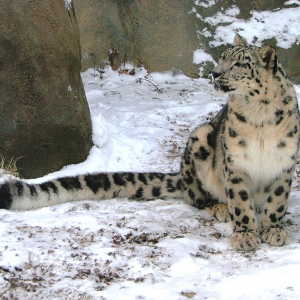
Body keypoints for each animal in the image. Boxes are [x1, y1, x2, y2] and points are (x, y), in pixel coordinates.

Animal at [0, 34, 298, 251]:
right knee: (197, 196)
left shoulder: (284, 161)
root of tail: (182, 176)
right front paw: (245, 234)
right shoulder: (235, 162)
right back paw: (220, 207)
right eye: (222, 58)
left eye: (239, 64)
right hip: (200, 138)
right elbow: (240, 200)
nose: (214, 73)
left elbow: (277, 201)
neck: (259, 115)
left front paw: (274, 230)